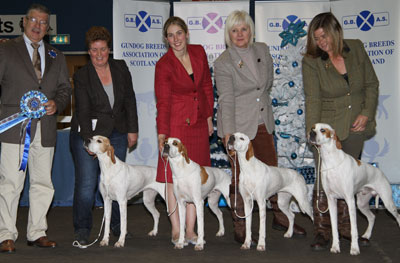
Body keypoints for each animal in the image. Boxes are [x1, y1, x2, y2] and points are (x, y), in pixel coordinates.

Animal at [310, 124, 400, 256]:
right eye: (312, 128)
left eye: (322, 130)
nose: (311, 133)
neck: (330, 160)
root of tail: (379, 171)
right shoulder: (331, 201)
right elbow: (334, 228)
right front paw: (335, 246)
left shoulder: (349, 200)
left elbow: (353, 229)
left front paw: (354, 248)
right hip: (362, 204)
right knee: (372, 217)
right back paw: (366, 235)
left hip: (387, 203)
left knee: (398, 216)